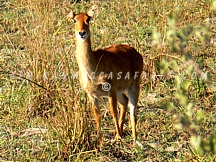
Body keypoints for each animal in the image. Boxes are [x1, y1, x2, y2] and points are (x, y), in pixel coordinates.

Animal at [67, 5, 143, 144]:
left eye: (88, 19)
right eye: (74, 19)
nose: (82, 33)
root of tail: (135, 52)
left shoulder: (110, 90)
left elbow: (113, 112)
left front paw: (118, 136)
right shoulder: (92, 95)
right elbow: (97, 115)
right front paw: (99, 137)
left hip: (134, 86)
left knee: (133, 111)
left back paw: (134, 139)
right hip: (120, 91)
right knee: (124, 102)